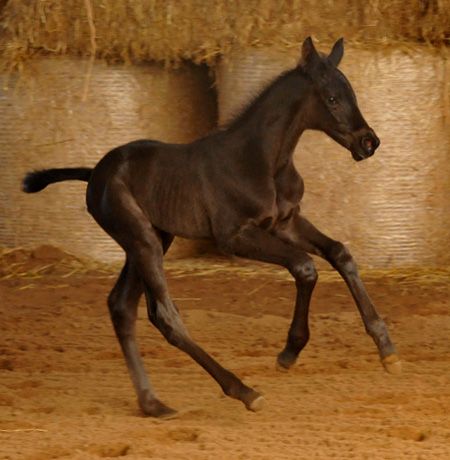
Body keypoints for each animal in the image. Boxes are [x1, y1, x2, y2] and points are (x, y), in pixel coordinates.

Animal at [22, 37, 400, 418]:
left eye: (352, 93)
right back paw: (243, 390)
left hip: (154, 239)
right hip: (142, 241)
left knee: (122, 307)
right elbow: (305, 267)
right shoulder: (234, 236)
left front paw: (387, 349)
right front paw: (290, 352)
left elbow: (340, 253)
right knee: (165, 315)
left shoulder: (286, 222)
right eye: (332, 98)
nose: (369, 143)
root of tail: (95, 173)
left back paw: (152, 403)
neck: (263, 160)